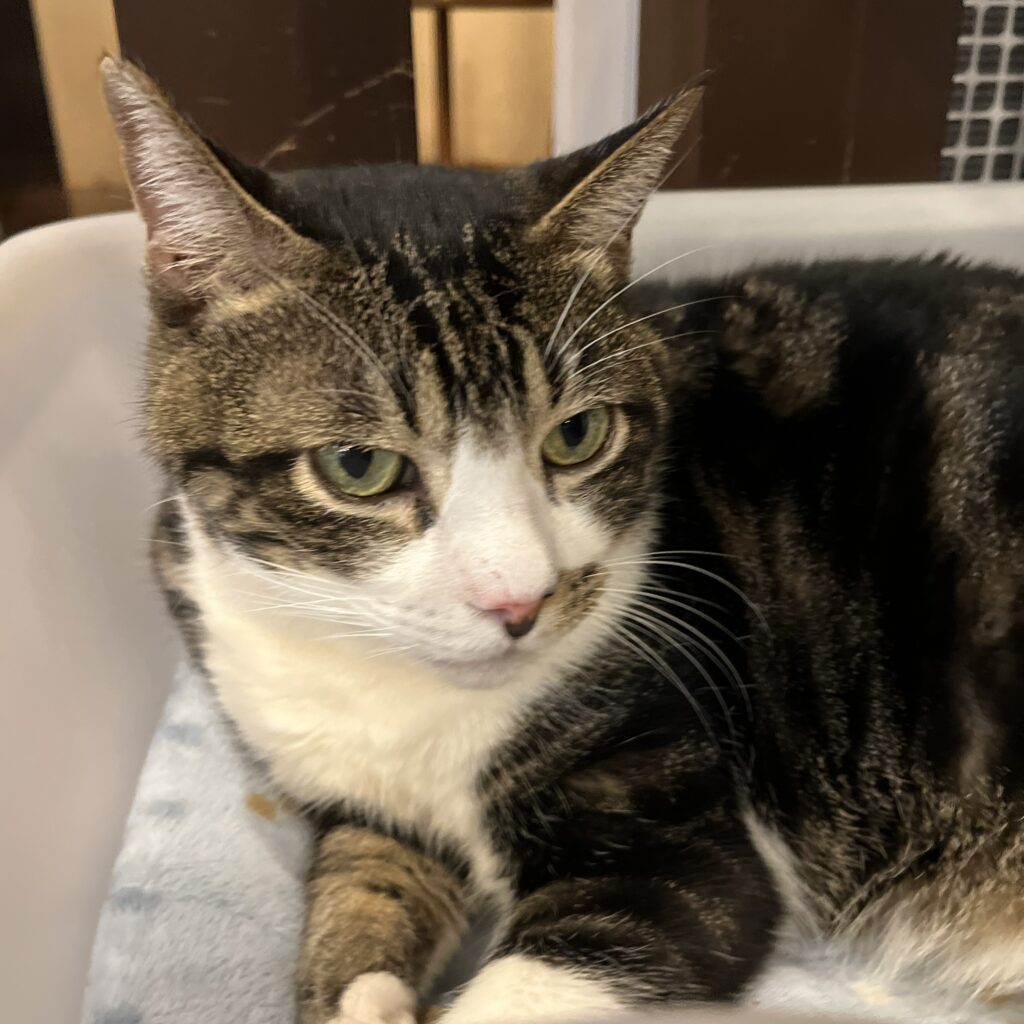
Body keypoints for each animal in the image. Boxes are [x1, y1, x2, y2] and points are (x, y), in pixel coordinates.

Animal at [102, 57, 1024, 1024]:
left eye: (577, 435)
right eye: (358, 465)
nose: (520, 598)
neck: (390, 691)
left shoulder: (680, 851)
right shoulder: (362, 809)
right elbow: (358, 897)